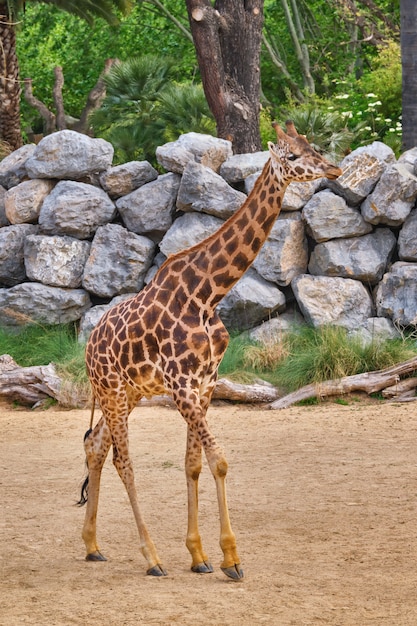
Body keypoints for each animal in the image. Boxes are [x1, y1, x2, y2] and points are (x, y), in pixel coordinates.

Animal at [79, 119, 342, 576]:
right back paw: (151, 557)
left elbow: (195, 463)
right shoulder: (183, 385)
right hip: (111, 389)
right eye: (292, 156)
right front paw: (231, 558)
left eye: (314, 147)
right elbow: (219, 459)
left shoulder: (204, 384)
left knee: (95, 446)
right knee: (122, 461)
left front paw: (200, 555)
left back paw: (93, 544)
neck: (207, 296)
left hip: (128, 393)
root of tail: (90, 344)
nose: (334, 169)